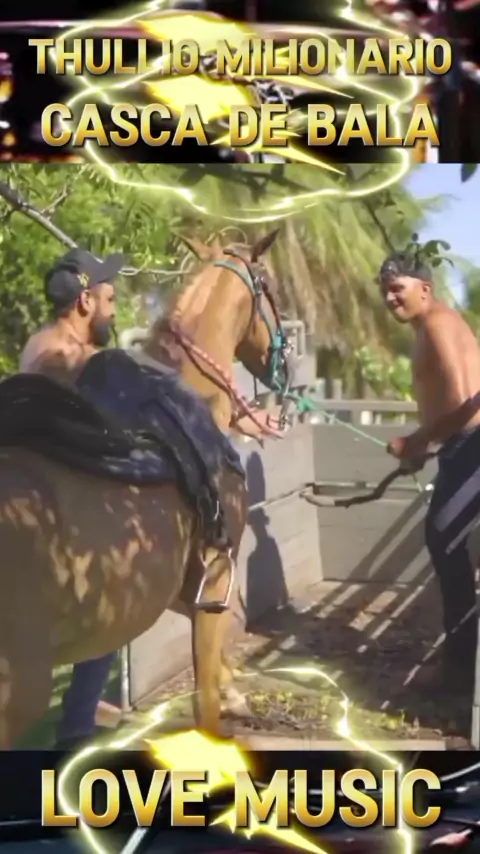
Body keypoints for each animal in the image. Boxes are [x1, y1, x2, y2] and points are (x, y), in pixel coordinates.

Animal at [0, 228, 291, 748]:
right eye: (271, 285)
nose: (285, 363)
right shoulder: (216, 575)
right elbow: (204, 699)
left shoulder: (177, 581)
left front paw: (233, 690)